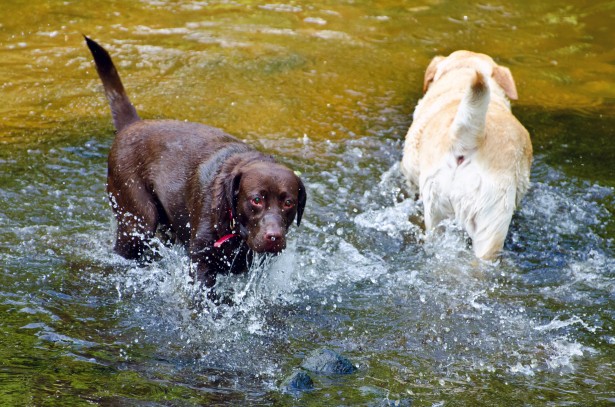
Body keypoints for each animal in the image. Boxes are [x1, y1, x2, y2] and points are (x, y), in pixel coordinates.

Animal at [85, 36, 306, 298]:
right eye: (256, 200)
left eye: (288, 202)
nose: (274, 236)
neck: (234, 228)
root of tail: (132, 125)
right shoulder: (201, 261)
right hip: (137, 221)